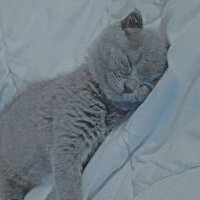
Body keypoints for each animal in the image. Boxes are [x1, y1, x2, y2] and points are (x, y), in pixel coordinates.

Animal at [0, 9, 167, 200]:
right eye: (128, 62)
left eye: (145, 85)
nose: (129, 87)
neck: (104, 102)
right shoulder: (69, 137)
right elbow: (67, 181)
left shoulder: (89, 145)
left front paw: (52, 196)